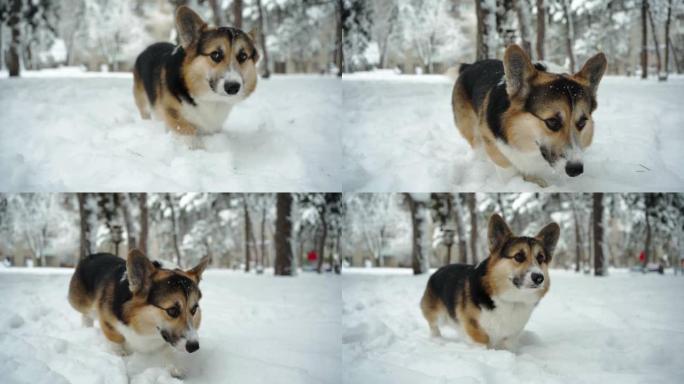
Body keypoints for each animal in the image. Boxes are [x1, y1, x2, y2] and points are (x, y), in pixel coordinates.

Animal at [69, 250, 210, 374]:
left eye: (194, 309)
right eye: (172, 310)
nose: (194, 347)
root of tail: (94, 255)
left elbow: (167, 350)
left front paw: (173, 367)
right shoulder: (107, 320)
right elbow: (115, 339)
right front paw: (120, 354)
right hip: (82, 303)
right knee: (86, 315)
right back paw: (87, 327)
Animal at [134, 6, 260, 150]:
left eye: (243, 56)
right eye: (215, 55)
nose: (233, 87)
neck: (211, 99)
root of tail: (149, 47)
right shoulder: (173, 113)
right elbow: (187, 132)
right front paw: (198, 149)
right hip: (143, 101)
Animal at [420, 214, 560, 350]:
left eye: (540, 258)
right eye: (519, 256)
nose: (539, 278)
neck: (512, 300)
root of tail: (438, 270)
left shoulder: (510, 337)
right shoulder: (474, 329)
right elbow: (482, 341)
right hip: (437, 315)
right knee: (434, 326)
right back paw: (437, 339)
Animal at [452, 44, 608, 187]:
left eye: (582, 122)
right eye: (552, 122)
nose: (576, 170)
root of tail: (469, 65)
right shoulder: (492, 141)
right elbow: (508, 168)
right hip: (472, 130)